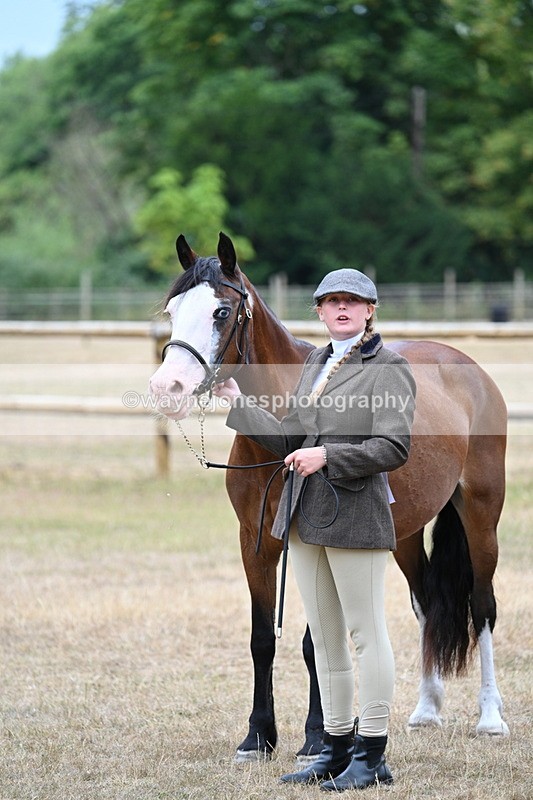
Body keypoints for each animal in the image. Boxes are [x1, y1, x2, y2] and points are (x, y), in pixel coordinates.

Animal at [149, 232, 510, 762]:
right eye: (172, 310)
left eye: (221, 311)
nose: (167, 387)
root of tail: (469, 369)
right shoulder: (254, 543)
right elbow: (262, 639)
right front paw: (258, 737)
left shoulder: (313, 541)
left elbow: (316, 642)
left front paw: (317, 738)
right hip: (403, 534)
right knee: (426, 603)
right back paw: (426, 709)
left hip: (481, 516)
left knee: (482, 607)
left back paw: (490, 718)